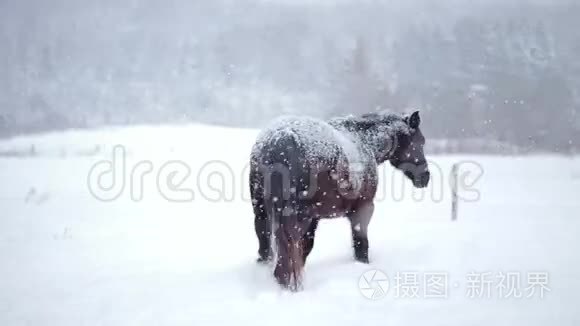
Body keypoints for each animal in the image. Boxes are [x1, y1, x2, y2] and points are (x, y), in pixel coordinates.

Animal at [247, 109, 428, 290]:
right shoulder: (363, 209)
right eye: (421, 141)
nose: (425, 177)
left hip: (262, 211)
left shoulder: (314, 219)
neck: (365, 141)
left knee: (266, 248)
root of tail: (281, 137)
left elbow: (306, 248)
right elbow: (361, 243)